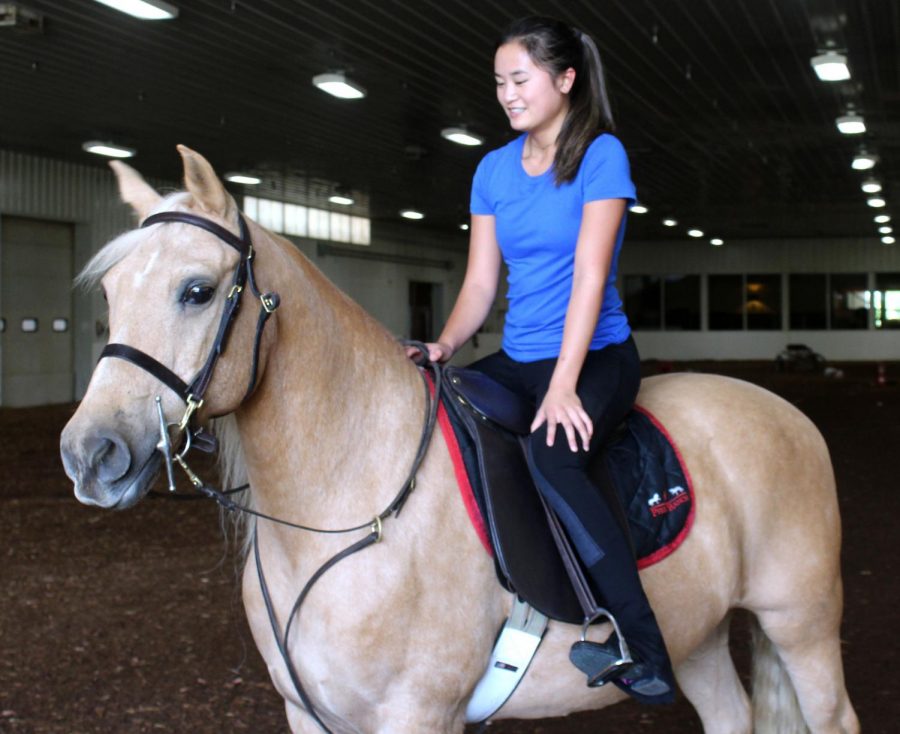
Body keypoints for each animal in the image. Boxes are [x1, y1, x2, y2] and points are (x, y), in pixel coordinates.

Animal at [59, 148, 860, 734]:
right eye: (110, 295)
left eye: (196, 291)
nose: (90, 454)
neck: (349, 502)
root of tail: (786, 413)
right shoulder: (309, 713)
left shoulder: (417, 714)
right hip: (698, 636)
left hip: (802, 622)